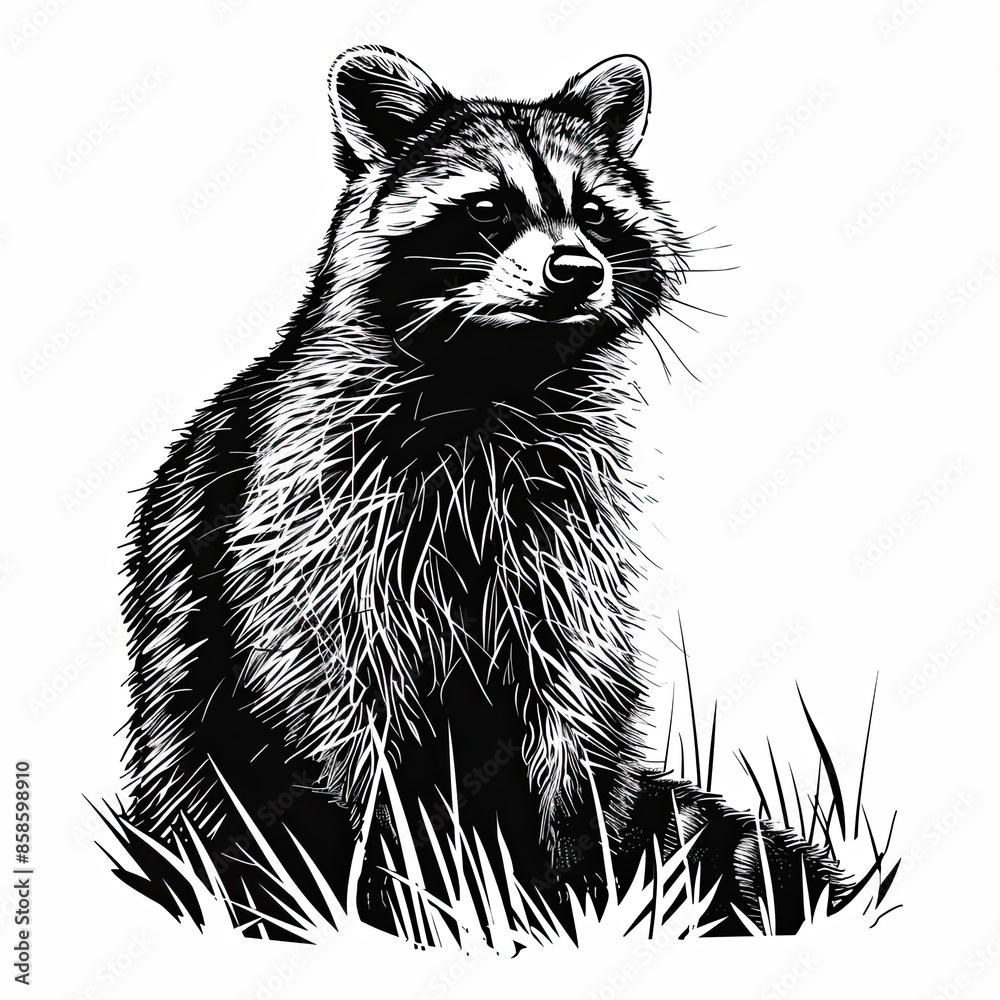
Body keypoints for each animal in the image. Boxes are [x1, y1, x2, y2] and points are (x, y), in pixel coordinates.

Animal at [121, 46, 844, 937]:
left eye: (593, 214)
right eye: (488, 208)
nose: (578, 270)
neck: (497, 373)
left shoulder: (567, 533)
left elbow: (574, 691)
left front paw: (566, 880)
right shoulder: (309, 511)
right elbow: (325, 693)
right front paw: (390, 879)